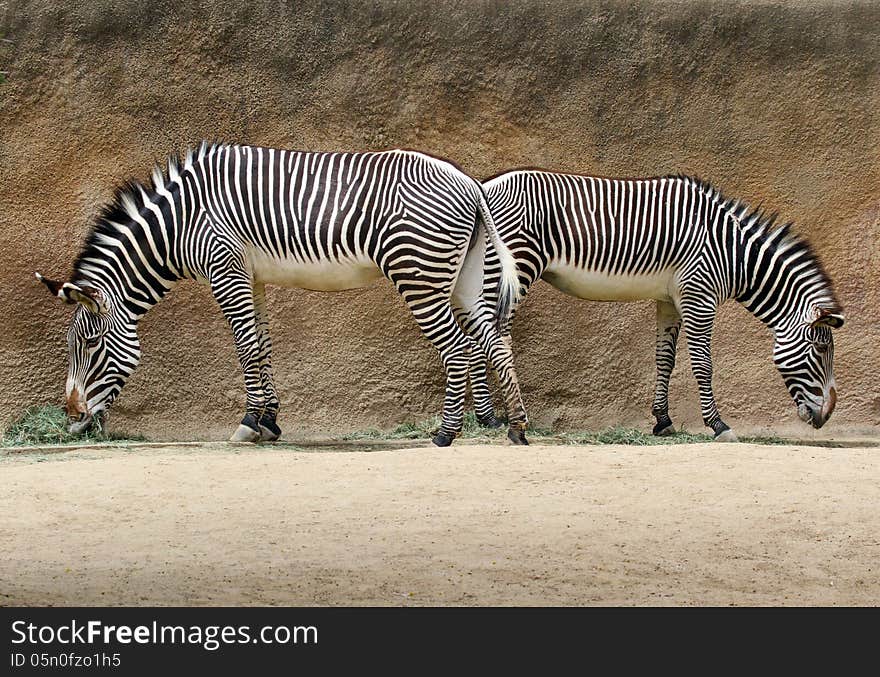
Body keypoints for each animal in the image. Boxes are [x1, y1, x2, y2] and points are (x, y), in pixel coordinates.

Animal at [34, 141, 528, 444]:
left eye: (90, 344)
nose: (71, 418)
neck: (182, 222)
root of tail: (469, 183)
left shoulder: (224, 268)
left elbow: (245, 346)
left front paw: (249, 422)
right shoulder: (252, 276)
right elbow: (262, 346)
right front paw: (269, 421)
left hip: (418, 274)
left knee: (459, 348)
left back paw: (446, 433)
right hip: (462, 279)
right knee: (494, 342)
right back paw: (516, 428)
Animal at [458, 172, 844, 440]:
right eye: (821, 349)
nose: (827, 416)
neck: (733, 254)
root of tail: (482, 187)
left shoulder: (669, 299)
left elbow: (665, 360)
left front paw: (663, 420)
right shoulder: (699, 293)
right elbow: (703, 363)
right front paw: (718, 424)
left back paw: (488, 417)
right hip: (515, 267)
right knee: (487, 335)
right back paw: (494, 418)